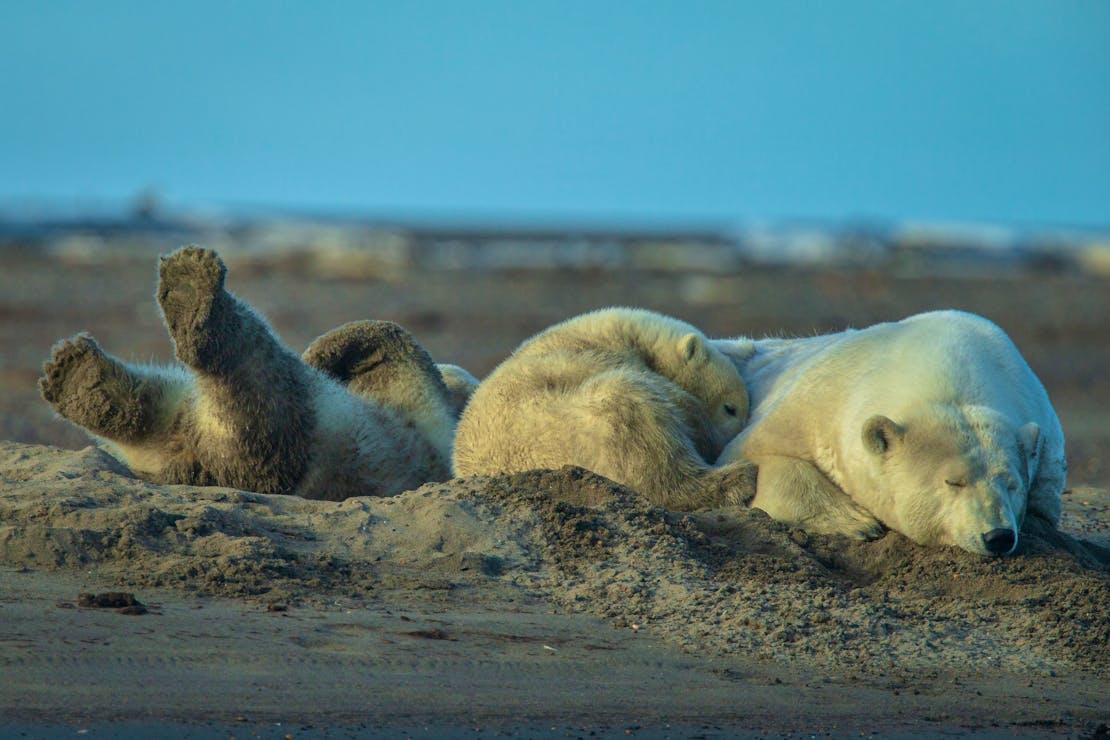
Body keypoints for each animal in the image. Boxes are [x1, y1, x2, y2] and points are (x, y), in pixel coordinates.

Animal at [40, 246, 468, 501]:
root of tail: (199, 462)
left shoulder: (427, 428)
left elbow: (401, 348)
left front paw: (332, 350)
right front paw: (329, 353)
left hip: (294, 430)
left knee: (253, 384)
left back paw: (191, 291)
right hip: (198, 418)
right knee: (168, 399)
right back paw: (80, 376)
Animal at [710, 310, 1065, 559]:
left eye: (1012, 484)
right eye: (954, 482)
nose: (998, 536)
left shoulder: (1046, 438)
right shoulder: (816, 401)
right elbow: (752, 453)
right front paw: (856, 521)